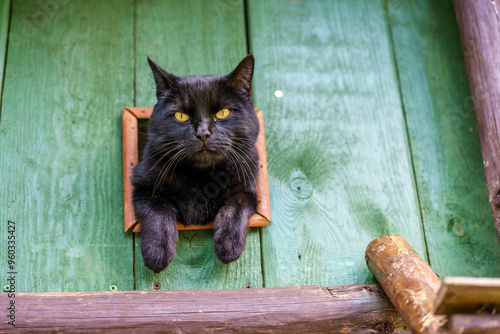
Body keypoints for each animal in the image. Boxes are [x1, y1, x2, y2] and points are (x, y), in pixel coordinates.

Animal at [131, 54, 260, 272]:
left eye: (223, 112)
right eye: (181, 116)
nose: (202, 133)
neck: (202, 177)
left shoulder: (248, 187)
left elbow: (237, 203)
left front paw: (229, 245)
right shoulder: (142, 186)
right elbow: (158, 209)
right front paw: (157, 252)